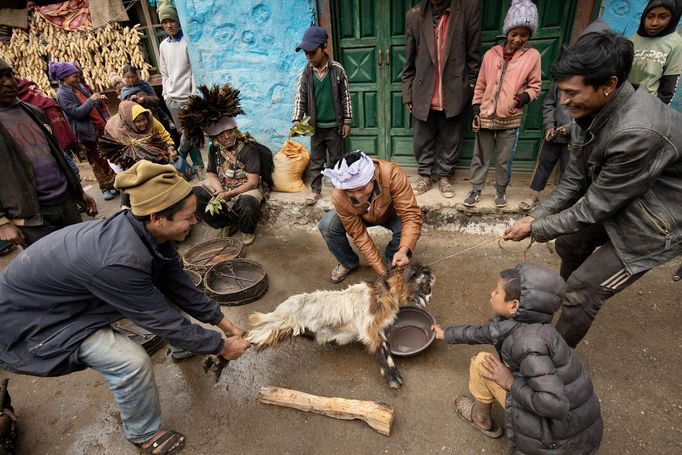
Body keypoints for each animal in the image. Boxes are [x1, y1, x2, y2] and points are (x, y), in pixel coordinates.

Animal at [247, 266, 432, 390]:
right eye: (425, 283)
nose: (429, 298)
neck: (381, 293)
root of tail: (283, 306)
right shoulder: (368, 327)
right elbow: (381, 347)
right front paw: (392, 377)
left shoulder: (378, 328)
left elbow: (385, 346)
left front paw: (393, 374)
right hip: (281, 322)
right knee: (260, 332)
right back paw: (248, 340)